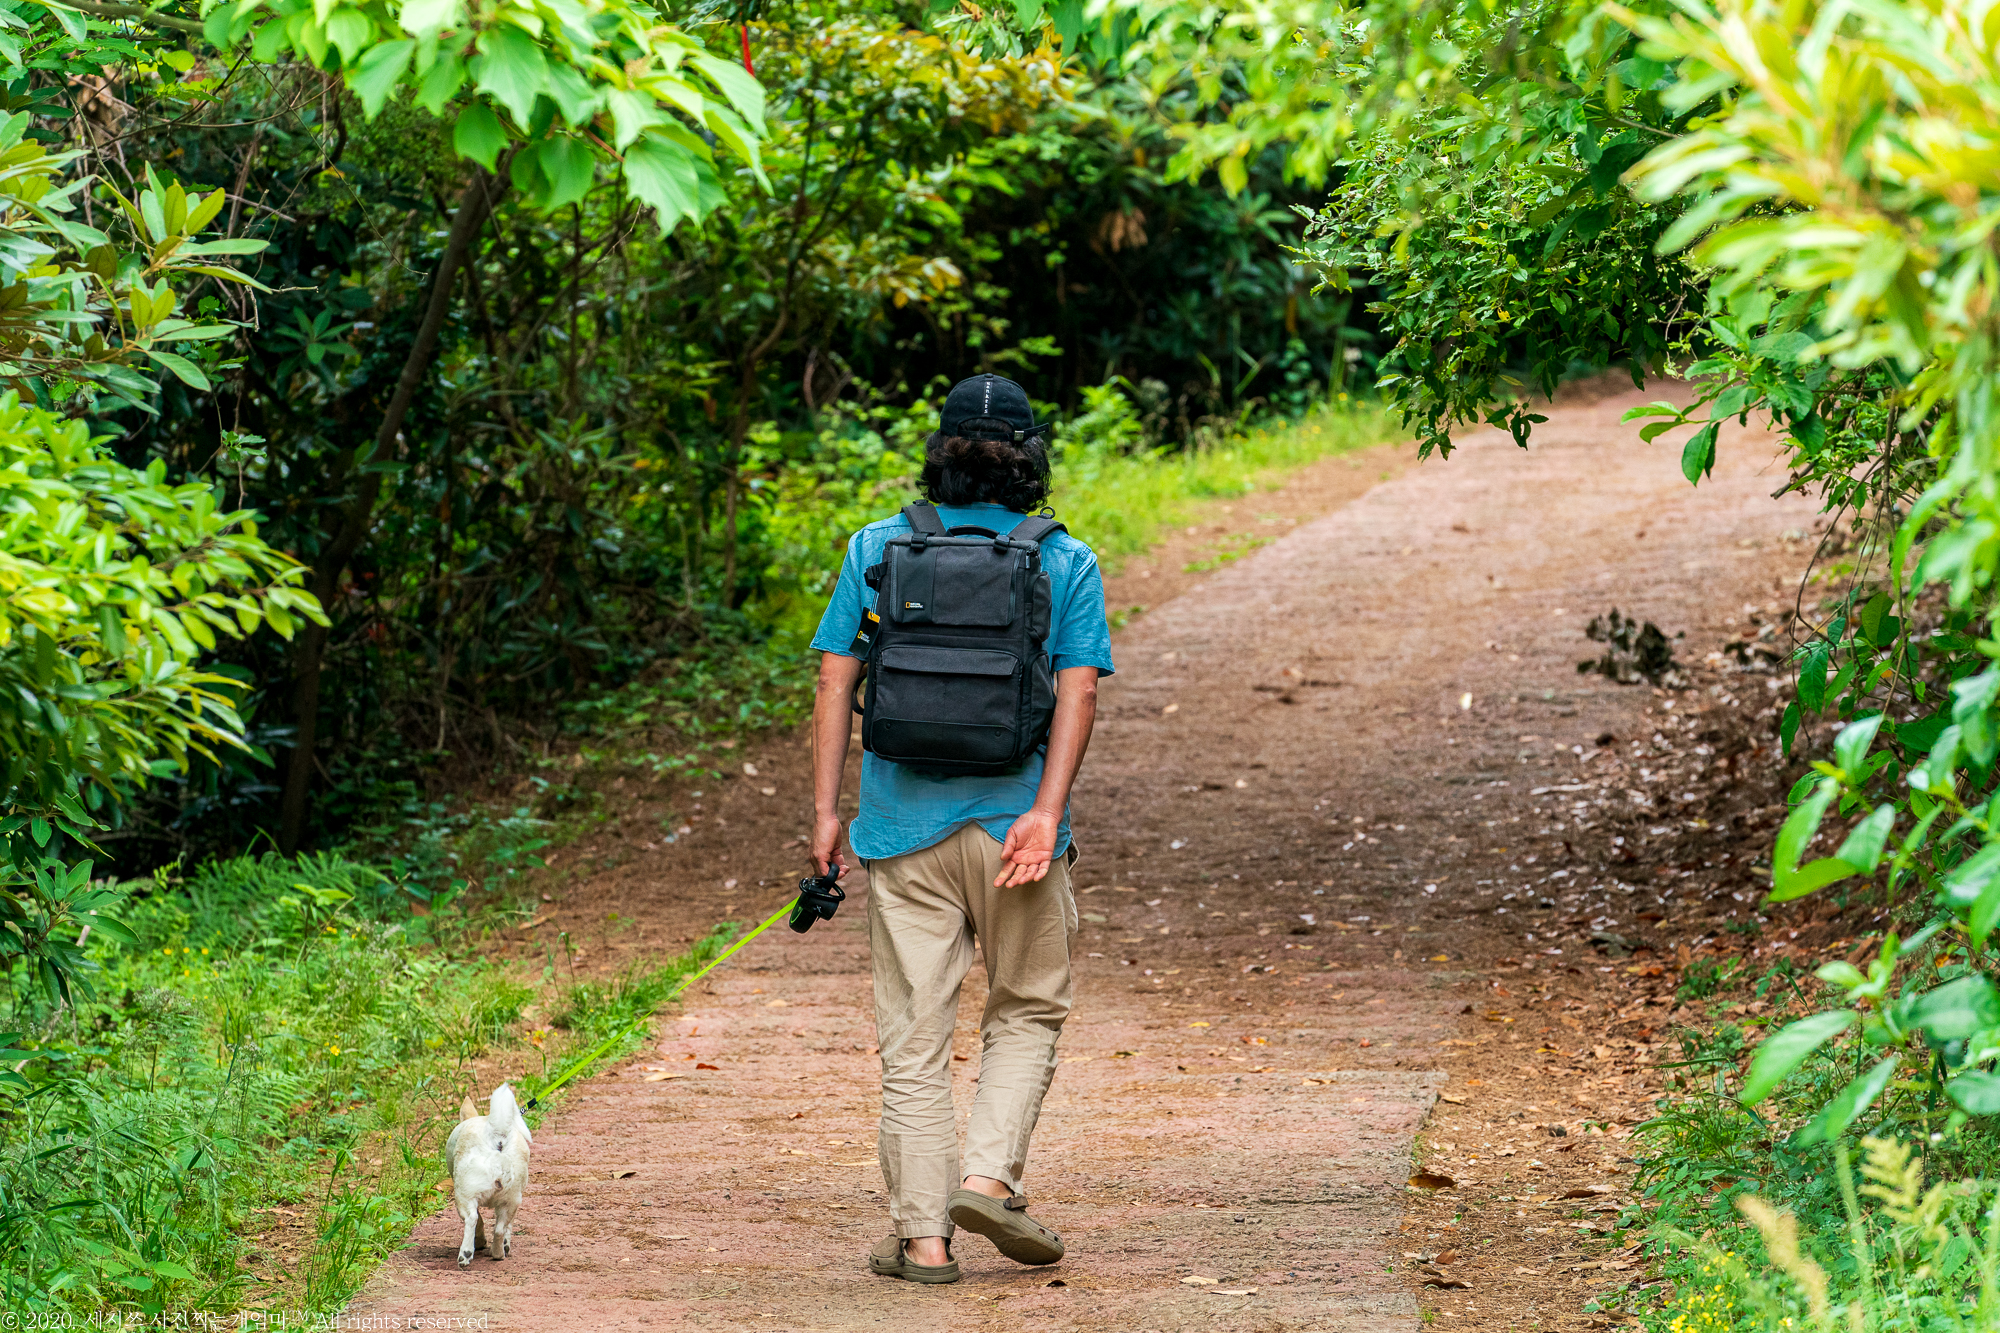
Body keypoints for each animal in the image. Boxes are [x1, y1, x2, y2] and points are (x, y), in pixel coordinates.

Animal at [442, 1072, 528, 1264]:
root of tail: (497, 1136)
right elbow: (507, 1228)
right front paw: (505, 1245)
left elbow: (479, 1220)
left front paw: (479, 1242)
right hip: (512, 1198)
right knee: (500, 1228)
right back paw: (498, 1253)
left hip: (464, 1194)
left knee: (473, 1219)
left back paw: (466, 1254)